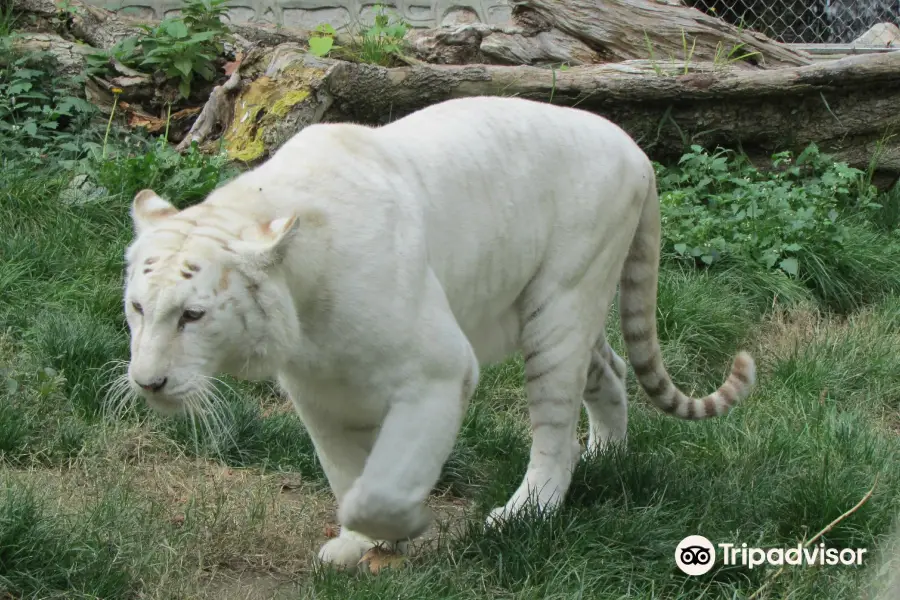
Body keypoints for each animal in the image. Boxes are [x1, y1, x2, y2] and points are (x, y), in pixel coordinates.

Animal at [121, 94, 752, 568]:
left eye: (192, 315)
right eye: (137, 308)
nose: (148, 384)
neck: (302, 304)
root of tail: (637, 152)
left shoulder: (436, 373)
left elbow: (380, 483)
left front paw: (404, 527)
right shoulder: (318, 392)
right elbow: (345, 474)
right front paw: (356, 546)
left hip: (562, 304)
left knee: (555, 431)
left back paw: (526, 513)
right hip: (556, 310)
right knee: (612, 371)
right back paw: (608, 460)